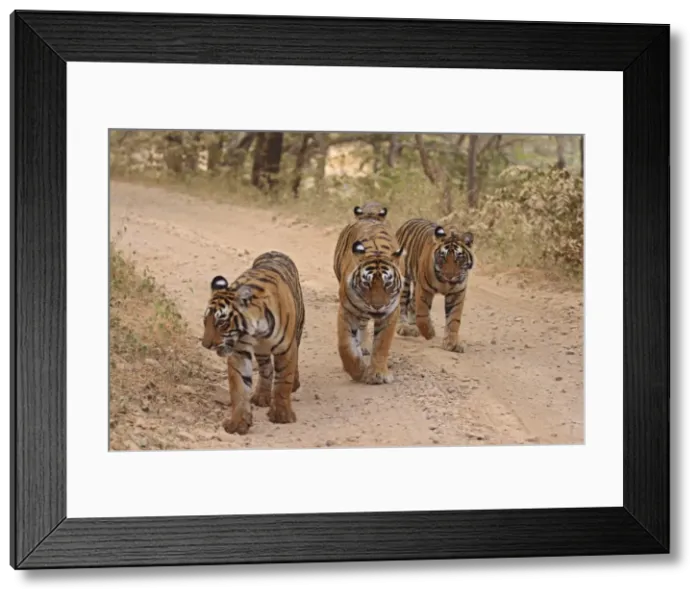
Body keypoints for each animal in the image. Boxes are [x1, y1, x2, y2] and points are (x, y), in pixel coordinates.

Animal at [200, 250, 305, 435]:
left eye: (221, 323)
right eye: (205, 321)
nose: (206, 345)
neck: (256, 330)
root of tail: (274, 251)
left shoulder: (285, 349)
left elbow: (283, 381)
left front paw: (281, 415)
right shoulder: (239, 351)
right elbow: (239, 387)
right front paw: (238, 423)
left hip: (297, 331)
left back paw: (294, 383)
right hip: (262, 351)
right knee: (266, 369)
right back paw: (261, 396)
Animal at [333, 218, 405, 384]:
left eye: (388, 283)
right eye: (366, 283)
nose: (377, 306)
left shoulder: (391, 312)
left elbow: (382, 344)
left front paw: (378, 373)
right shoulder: (347, 310)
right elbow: (345, 346)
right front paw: (357, 372)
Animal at [395, 218, 475, 353]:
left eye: (459, 257)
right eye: (443, 256)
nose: (450, 276)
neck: (445, 283)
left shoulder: (457, 292)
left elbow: (453, 320)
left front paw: (452, 344)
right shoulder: (424, 289)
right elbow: (422, 315)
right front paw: (429, 333)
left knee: (411, 304)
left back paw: (413, 327)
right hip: (404, 277)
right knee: (402, 303)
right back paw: (404, 327)